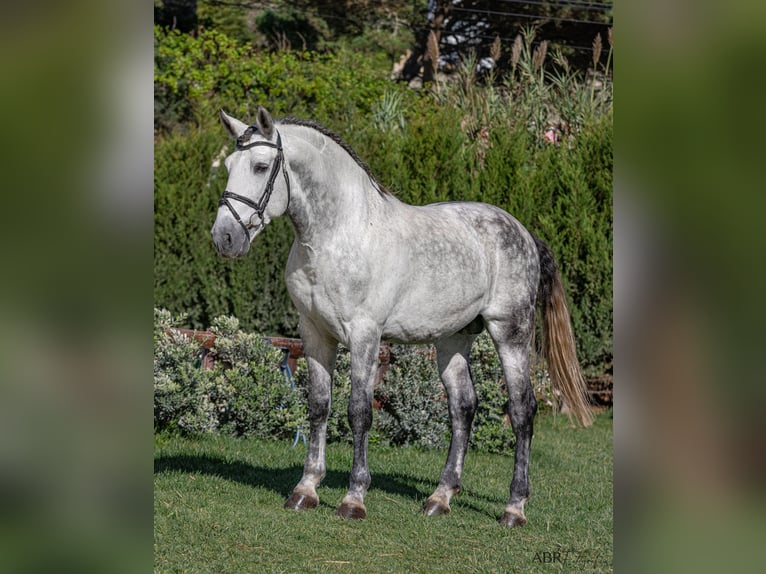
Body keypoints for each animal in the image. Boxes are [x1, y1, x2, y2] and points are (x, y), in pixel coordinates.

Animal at [210, 106, 592, 528]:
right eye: (228, 166)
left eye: (261, 166)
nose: (224, 238)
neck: (339, 235)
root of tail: (524, 233)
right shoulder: (315, 335)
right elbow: (319, 406)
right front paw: (306, 489)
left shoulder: (364, 335)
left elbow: (359, 412)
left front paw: (354, 498)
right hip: (453, 338)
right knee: (463, 408)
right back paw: (441, 497)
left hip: (511, 332)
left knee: (523, 410)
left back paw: (514, 507)